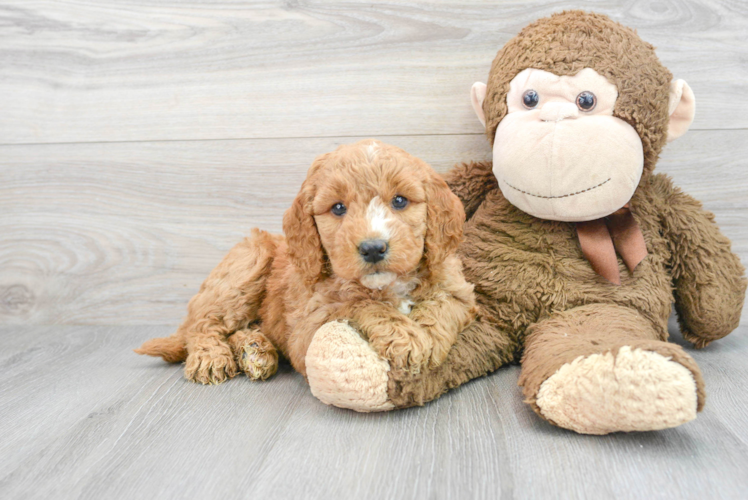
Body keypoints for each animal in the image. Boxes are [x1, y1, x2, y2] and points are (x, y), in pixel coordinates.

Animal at [136, 141, 474, 386]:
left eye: (400, 201)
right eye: (338, 208)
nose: (373, 248)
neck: (388, 286)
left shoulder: (457, 287)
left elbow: (446, 306)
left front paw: (429, 340)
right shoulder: (306, 330)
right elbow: (360, 304)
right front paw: (408, 338)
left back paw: (254, 350)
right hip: (248, 262)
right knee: (204, 324)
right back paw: (211, 357)